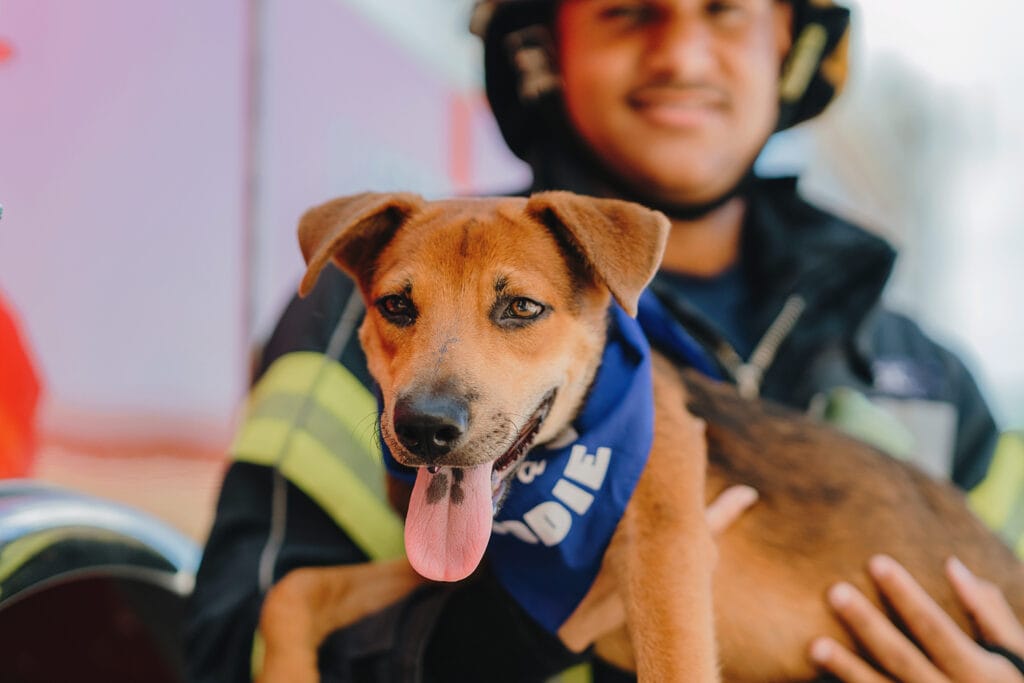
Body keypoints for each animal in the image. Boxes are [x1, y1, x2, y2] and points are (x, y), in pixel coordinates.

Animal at [258, 192, 1024, 683]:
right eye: (396, 305)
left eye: (521, 308)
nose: (425, 428)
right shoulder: (473, 566)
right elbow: (289, 589)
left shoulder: (667, 557)